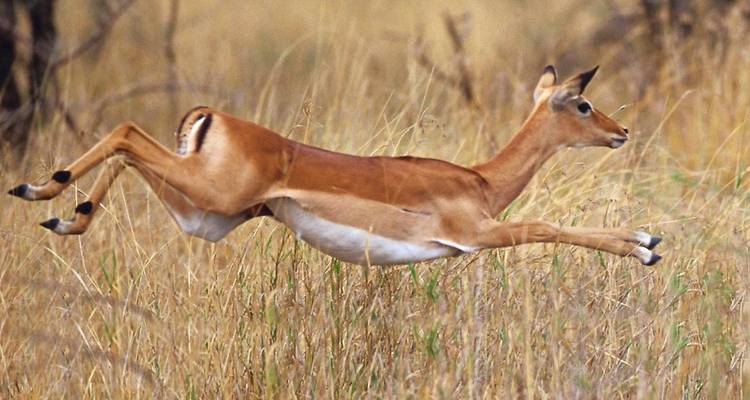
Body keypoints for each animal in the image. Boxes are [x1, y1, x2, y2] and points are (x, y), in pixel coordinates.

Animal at [8, 65, 662, 266]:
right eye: (582, 104)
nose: (622, 131)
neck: (479, 179)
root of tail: (210, 116)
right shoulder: (477, 234)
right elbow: (549, 226)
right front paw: (644, 244)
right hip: (212, 196)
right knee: (124, 130)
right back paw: (37, 190)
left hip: (206, 216)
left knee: (126, 146)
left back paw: (62, 211)